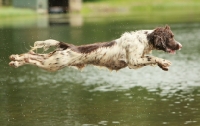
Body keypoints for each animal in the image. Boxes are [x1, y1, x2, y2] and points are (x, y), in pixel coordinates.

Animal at [9, 25, 181, 71]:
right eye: (171, 37)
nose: (180, 45)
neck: (144, 40)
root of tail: (69, 46)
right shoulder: (133, 61)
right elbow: (152, 57)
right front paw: (164, 62)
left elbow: (151, 59)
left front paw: (163, 65)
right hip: (53, 64)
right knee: (32, 58)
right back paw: (16, 59)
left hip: (53, 60)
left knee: (32, 56)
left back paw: (15, 59)